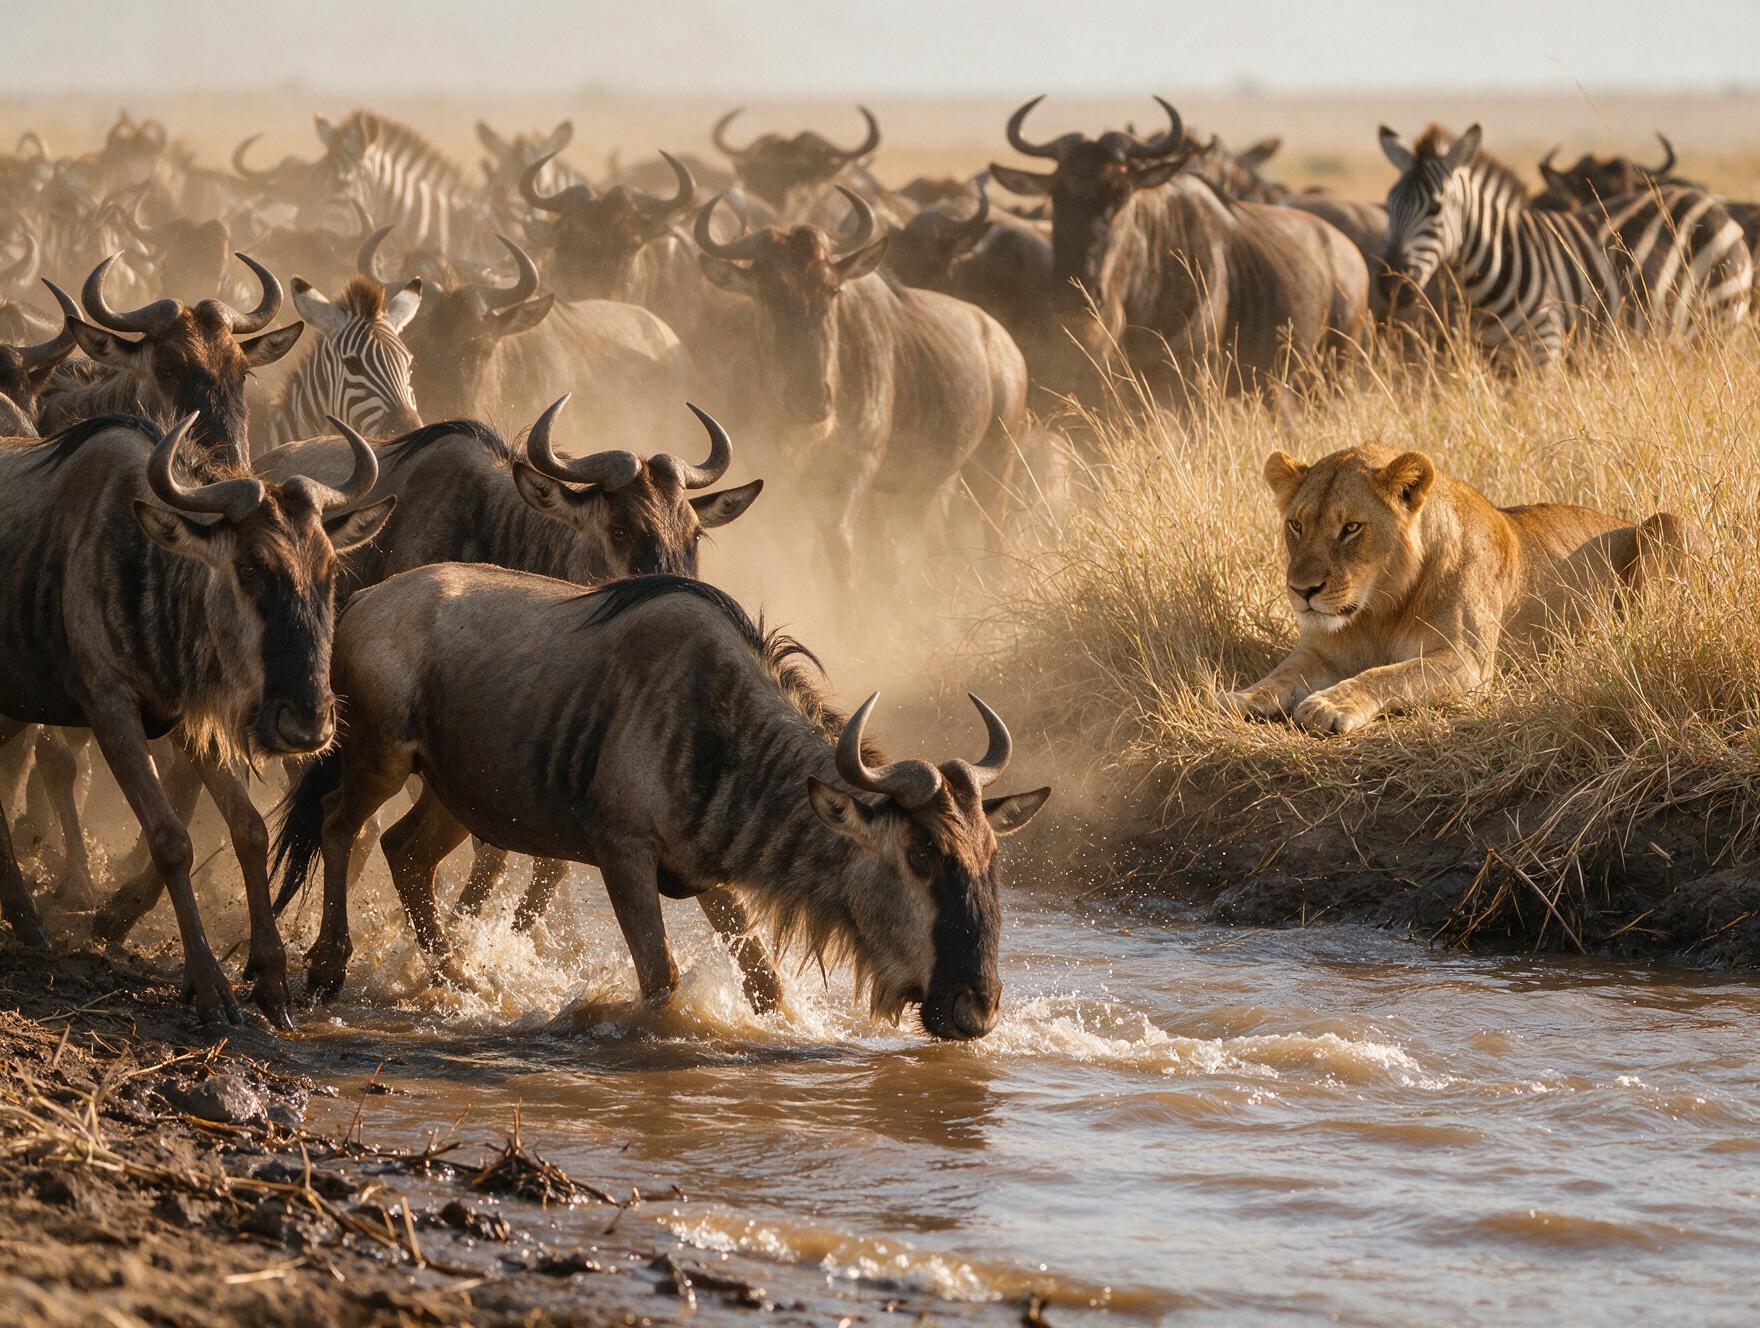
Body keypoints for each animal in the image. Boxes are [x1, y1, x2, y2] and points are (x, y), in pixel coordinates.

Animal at [1219, 443, 1684, 735]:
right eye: (1296, 525)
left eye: (1350, 528)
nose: (1302, 590)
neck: (1378, 610)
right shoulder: (1321, 652)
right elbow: (1284, 673)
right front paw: (1243, 697)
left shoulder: (1467, 661)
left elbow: (1386, 675)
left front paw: (1329, 705)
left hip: (1666, 523)